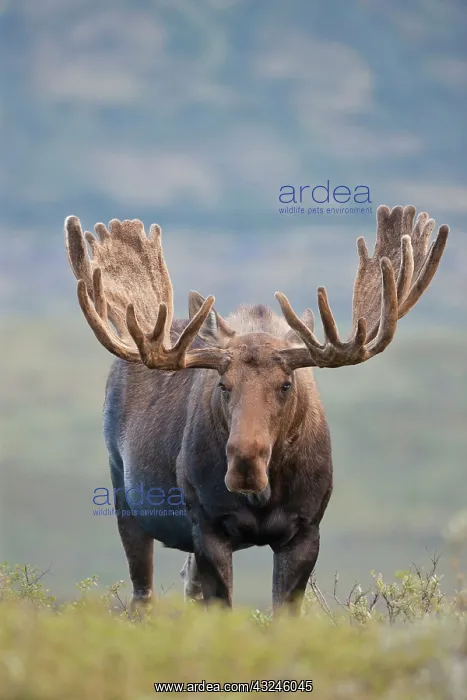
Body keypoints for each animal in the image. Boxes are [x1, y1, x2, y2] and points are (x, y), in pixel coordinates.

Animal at [64, 205, 448, 613]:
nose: (245, 462)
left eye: (286, 384)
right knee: (143, 593)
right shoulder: (208, 526)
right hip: (125, 497)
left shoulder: (306, 530)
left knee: (187, 581)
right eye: (223, 385)